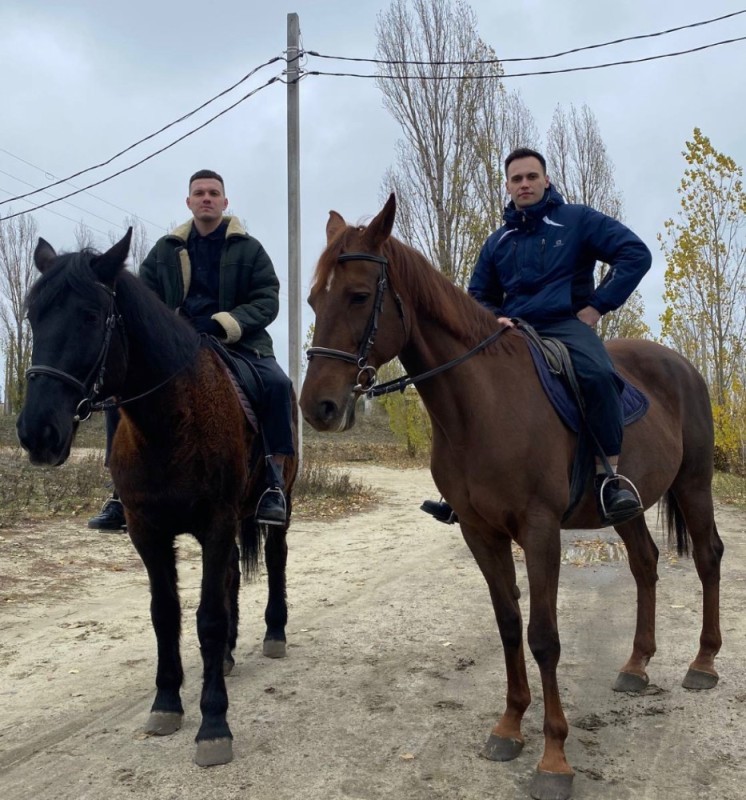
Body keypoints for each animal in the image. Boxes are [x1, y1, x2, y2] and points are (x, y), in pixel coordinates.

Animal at [17, 230, 296, 768]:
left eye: (90, 315)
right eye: (32, 315)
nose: (37, 432)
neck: (170, 420)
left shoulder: (215, 522)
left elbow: (207, 617)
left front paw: (213, 724)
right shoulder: (148, 531)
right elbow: (165, 614)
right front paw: (167, 702)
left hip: (275, 505)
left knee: (275, 560)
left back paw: (274, 634)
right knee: (232, 574)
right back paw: (228, 655)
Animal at [300, 194, 720, 800]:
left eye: (358, 295)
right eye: (313, 298)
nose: (318, 407)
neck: (482, 404)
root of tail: (683, 365)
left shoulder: (539, 531)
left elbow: (544, 637)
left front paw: (554, 758)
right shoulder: (482, 532)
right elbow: (507, 625)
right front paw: (508, 727)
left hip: (694, 483)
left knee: (708, 557)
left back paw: (704, 664)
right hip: (628, 505)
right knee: (645, 563)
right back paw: (636, 667)